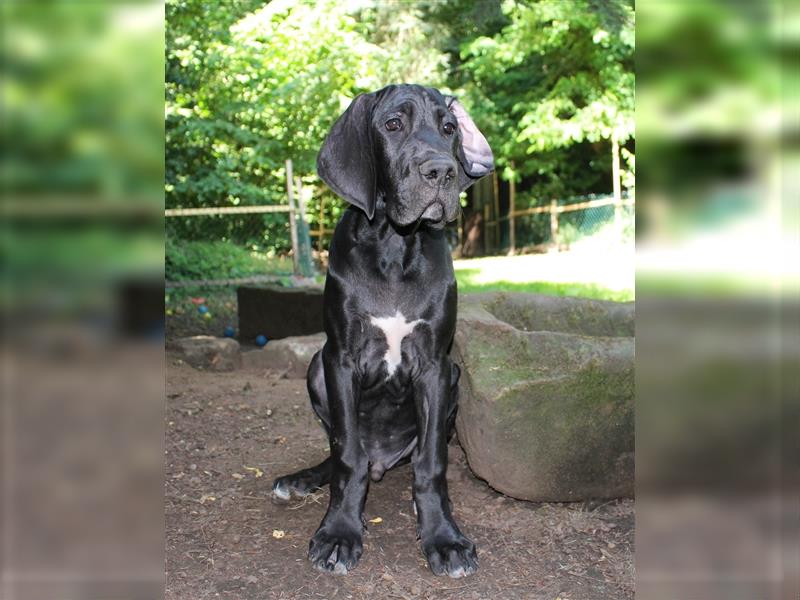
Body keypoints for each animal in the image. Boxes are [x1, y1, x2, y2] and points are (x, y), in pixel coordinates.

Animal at [274, 83, 494, 576]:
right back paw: (303, 479)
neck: (395, 245)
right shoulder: (340, 359)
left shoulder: (435, 365)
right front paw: (339, 531)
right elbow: (346, 457)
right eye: (393, 125)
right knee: (340, 448)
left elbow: (431, 463)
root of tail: (384, 459)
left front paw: (443, 536)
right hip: (315, 367)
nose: (442, 170)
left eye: (448, 128)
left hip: (452, 378)